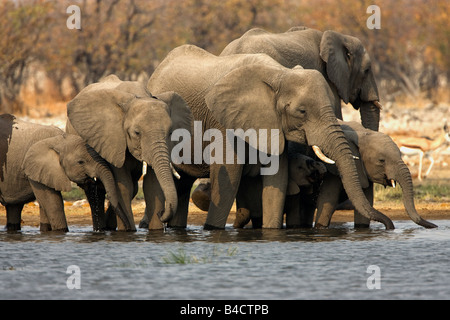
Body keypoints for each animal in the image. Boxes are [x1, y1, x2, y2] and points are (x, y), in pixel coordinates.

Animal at [66, 75, 192, 230]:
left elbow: (152, 185)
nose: (161, 213)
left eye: (170, 133)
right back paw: (101, 229)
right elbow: (123, 185)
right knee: (93, 189)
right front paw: (128, 231)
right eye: (137, 133)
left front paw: (155, 230)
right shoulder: (112, 140)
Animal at [144, 45, 394, 230]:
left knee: (183, 182)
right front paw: (213, 230)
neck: (279, 74)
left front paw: (270, 232)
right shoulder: (223, 121)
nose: (389, 225)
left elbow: (277, 179)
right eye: (302, 112)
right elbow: (229, 175)